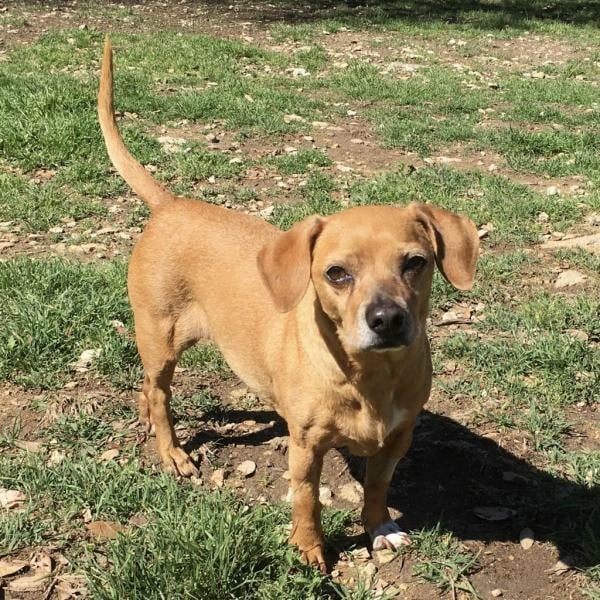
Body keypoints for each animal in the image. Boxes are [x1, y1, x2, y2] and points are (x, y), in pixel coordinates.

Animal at [99, 37, 478, 572]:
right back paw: (170, 450)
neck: (369, 377)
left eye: (415, 263)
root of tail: (170, 205)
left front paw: (378, 526)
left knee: (148, 392)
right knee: (159, 394)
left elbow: (378, 487)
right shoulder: (306, 448)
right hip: (161, 338)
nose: (386, 318)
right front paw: (309, 549)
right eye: (337, 273)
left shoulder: (396, 439)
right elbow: (308, 501)